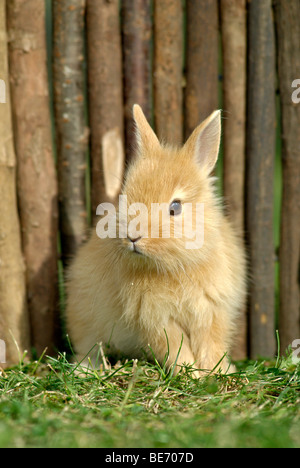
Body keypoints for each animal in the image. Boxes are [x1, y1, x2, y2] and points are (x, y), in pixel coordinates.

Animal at [67, 104, 247, 374]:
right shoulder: (154, 320)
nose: (133, 236)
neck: (174, 266)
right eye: (124, 197)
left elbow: (211, 345)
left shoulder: (212, 312)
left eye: (175, 207)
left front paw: (217, 372)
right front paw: (191, 374)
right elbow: (175, 349)